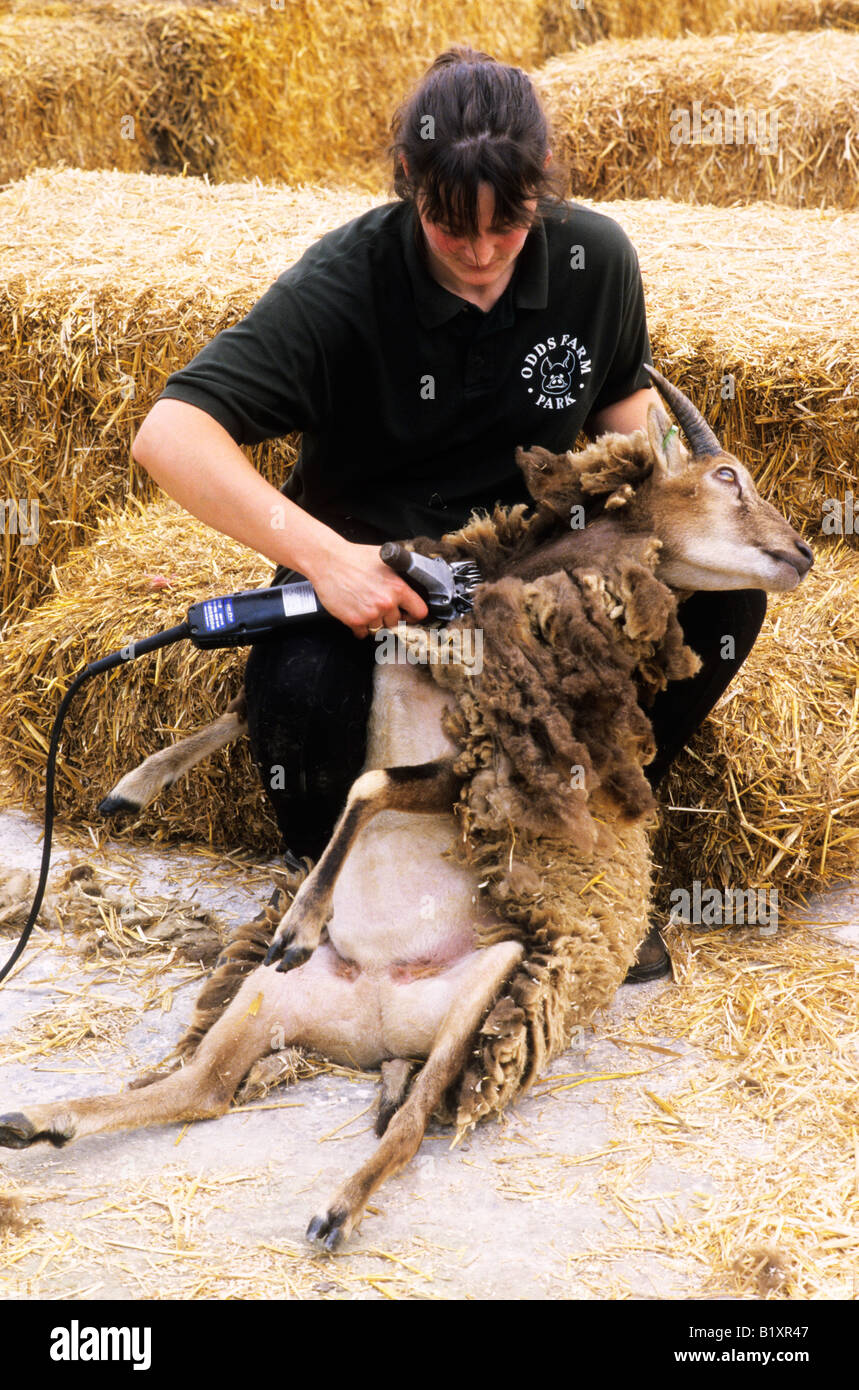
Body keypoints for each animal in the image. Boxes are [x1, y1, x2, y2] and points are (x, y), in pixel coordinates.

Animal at [0, 368, 813, 1250]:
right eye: (725, 476)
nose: (801, 553)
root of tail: (374, 1029)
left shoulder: (474, 772)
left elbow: (371, 786)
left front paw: (299, 923)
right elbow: (251, 718)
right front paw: (133, 785)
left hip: (485, 985)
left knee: (415, 1117)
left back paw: (335, 1207)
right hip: (262, 1002)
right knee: (200, 1090)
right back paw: (40, 1120)